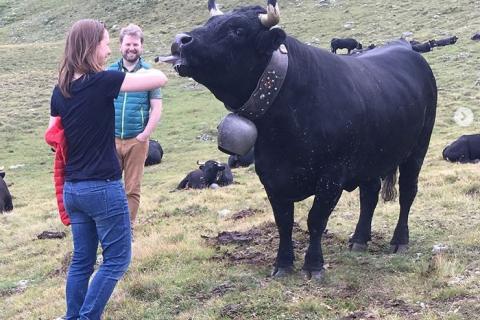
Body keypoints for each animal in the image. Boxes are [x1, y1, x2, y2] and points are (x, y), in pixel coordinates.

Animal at [159, 0, 436, 280]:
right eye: (209, 23)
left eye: (237, 31)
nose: (180, 41)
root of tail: (406, 49)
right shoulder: (270, 176)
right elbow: (283, 221)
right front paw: (282, 264)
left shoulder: (331, 176)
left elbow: (316, 220)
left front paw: (313, 265)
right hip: (371, 158)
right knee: (369, 194)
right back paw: (359, 239)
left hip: (417, 148)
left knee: (407, 192)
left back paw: (399, 241)